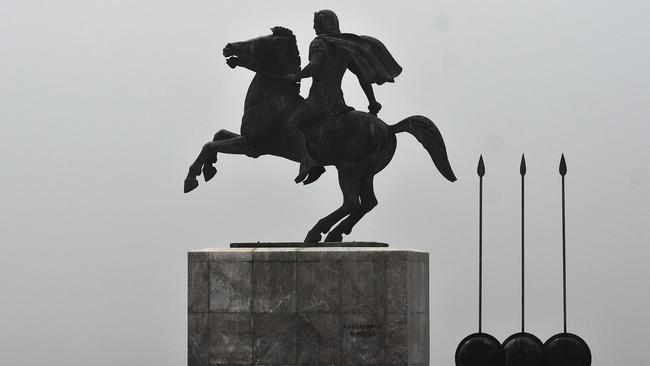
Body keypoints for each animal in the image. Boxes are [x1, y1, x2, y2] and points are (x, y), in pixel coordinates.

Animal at [182, 27, 456, 242]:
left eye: (259, 42)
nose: (228, 47)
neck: (272, 97)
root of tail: (389, 127)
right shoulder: (250, 145)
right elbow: (217, 135)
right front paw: (209, 169)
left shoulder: (253, 145)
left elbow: (210, 144)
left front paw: (192, 178)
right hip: (367, 172)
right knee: (367, 203)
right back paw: (334, 233)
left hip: (348, 168)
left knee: (352, 202)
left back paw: (317, 231)